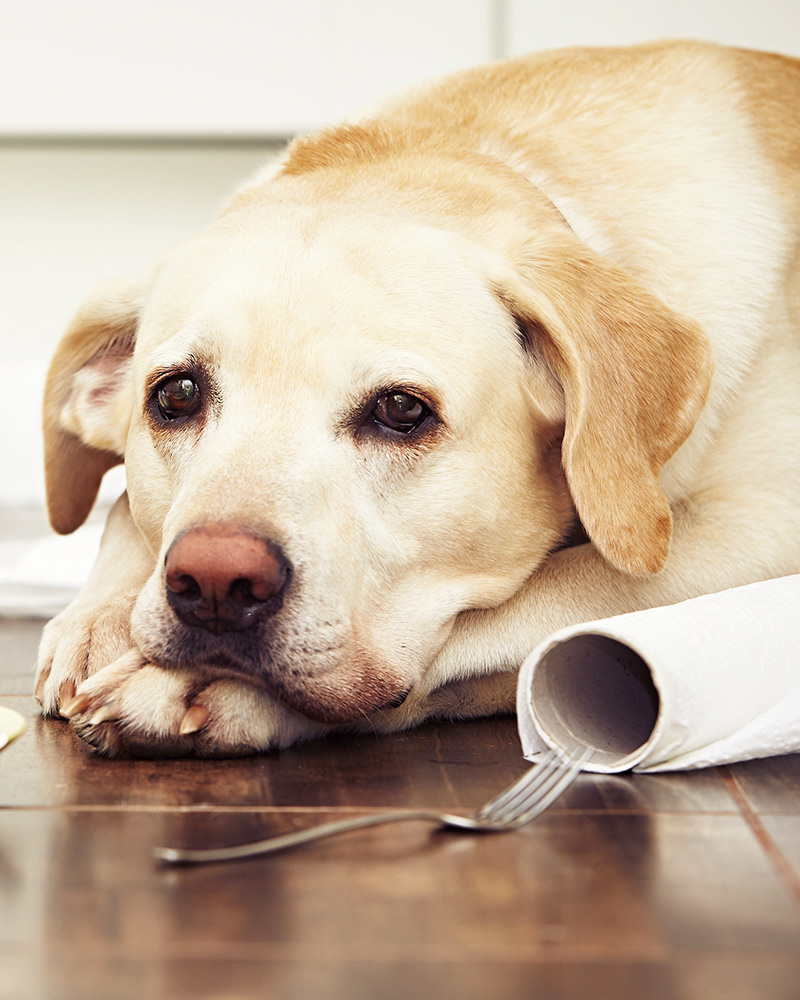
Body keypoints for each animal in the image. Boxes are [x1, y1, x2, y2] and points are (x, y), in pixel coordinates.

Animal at [34, 41, 800, 756]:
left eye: (401, 411)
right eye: (178, 395)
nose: (217, 581)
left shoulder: (757, 529)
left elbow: (542, 595)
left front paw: (190, 685)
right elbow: (122, 512)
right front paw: (99, 616)